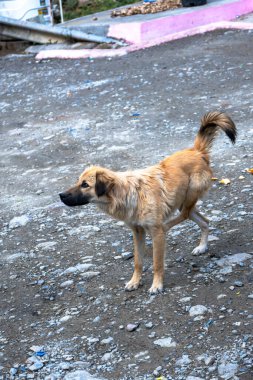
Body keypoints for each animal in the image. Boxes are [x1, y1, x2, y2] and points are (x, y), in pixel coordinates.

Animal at [59, 111, 237, 296]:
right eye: (78, 181)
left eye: (85, 184)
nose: (61, 195)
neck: (127, 193)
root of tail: (196, 151)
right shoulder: (137, 232)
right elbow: (138, 261)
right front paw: (134, 282)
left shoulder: (156, 234)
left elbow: (157, 263)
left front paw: (157, 285)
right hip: (183, 200)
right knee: (204, 221)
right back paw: (202, 247)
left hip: (189, 194)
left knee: (184, 215)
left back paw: (170, 226)